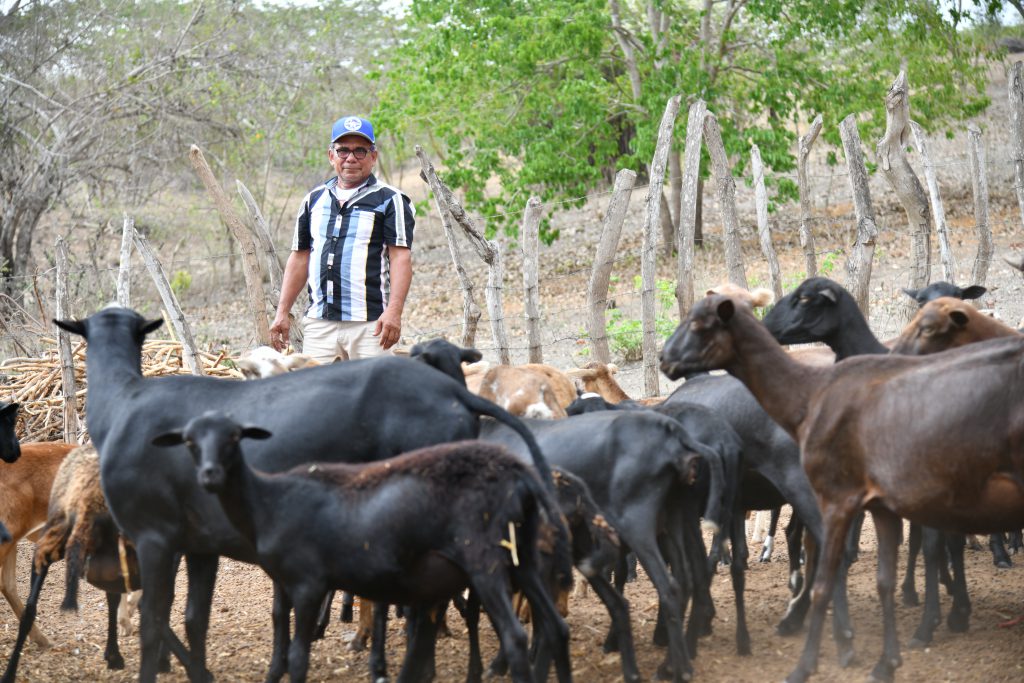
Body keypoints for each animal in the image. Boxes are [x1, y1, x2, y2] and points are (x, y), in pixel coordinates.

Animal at [154, 411, 573, 683]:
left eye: (232, 438)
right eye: (189, 442)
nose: (209, 476)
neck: (268, 500)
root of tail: (519, 473)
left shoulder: (308, 583)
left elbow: (299, 657)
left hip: (484, 560)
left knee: (517, 638)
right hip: (523, 558)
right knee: (557, 628)